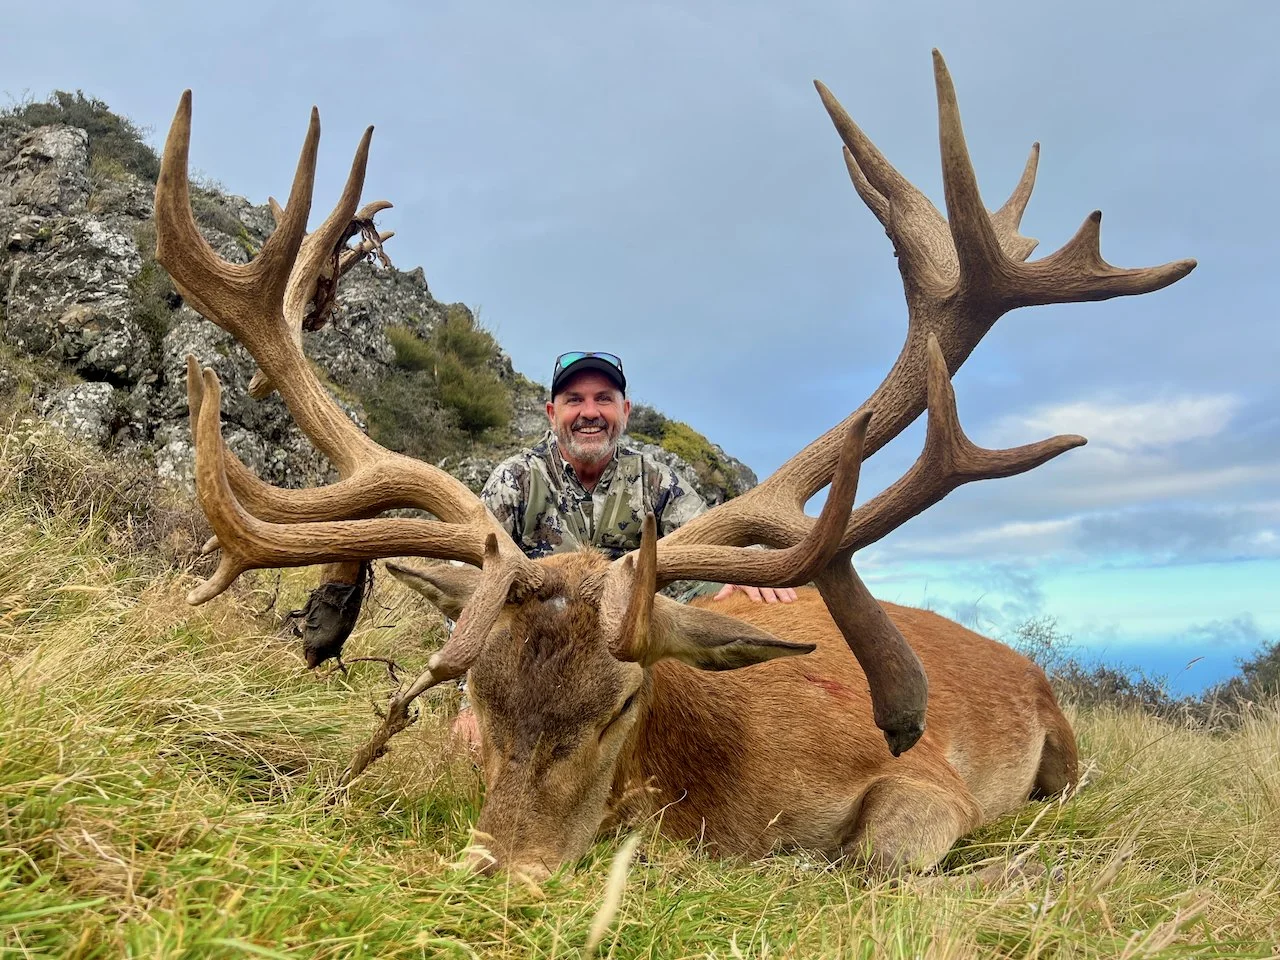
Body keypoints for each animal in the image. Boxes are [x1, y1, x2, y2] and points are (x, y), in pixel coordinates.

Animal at [154, 50, 1195, 881]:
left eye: (622, 705)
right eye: (479, 693)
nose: (501, 867)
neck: (717, 785)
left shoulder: (930, 780)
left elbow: (880, 856)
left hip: (1063, 742)